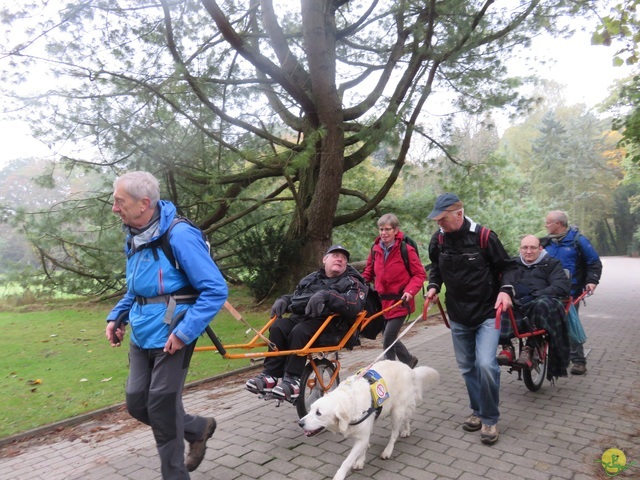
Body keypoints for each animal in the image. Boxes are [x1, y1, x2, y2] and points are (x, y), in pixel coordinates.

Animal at [298, 360, 438, 480]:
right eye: (310, 409)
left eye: (318, 413)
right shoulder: (362, 432)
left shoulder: (362, 435)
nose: (300, 423)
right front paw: (360, 460)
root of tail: (409, 368)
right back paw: (406, 431)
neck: (350, 403)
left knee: (394, 433)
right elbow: (363, 446)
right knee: (407, 417)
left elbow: (347, 460)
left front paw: (339, 475)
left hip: (397, 411)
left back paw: (388, 450)